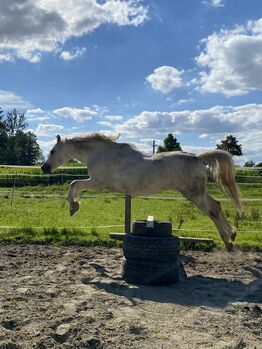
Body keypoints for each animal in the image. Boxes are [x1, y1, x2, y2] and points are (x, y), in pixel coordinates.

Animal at [41, 133, 244, 250]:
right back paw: (232, 235)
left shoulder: (98, 183)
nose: (44, 168)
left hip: (193, 194)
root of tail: (197, 157)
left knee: (213, 210)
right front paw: (74, 206)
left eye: (52, 151)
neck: (101, 154)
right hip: (197, 193)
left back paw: (228, 242)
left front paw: (73, 207)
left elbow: (74, 184)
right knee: (217, 205)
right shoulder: (97, 183)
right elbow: (74, 184)